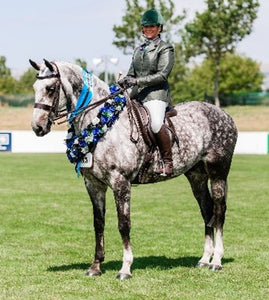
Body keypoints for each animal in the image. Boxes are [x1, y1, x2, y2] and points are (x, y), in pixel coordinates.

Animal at [29, 59, 237, 280]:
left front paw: (125, 268)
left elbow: (123, 224)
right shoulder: (94, 184)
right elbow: (98, 223)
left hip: (218, 173)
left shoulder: (121, 182)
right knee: (206, 210)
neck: (101, 123)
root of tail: (224, 114)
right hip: (196, 176)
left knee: (219, 210)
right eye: (35, 87)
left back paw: (216, 261)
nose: (37, 127)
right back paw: (204, 259)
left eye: (50, 89)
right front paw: (95, 267)